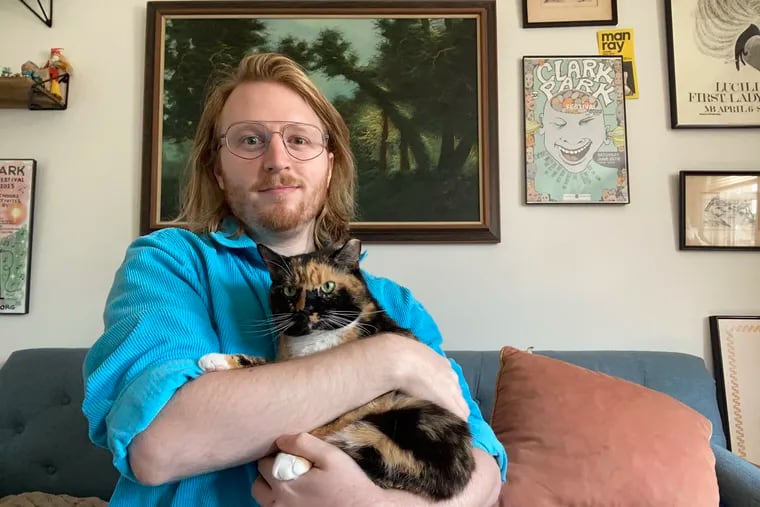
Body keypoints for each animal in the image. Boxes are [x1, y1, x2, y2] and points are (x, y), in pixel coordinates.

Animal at [199, 240, 472, 502]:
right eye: (289, 290)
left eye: (327, 287)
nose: (304, 310)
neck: (315, 341)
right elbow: (269, 363)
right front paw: (217, 360)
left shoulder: (376, 397)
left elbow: (334, 423)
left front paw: (291, 458)